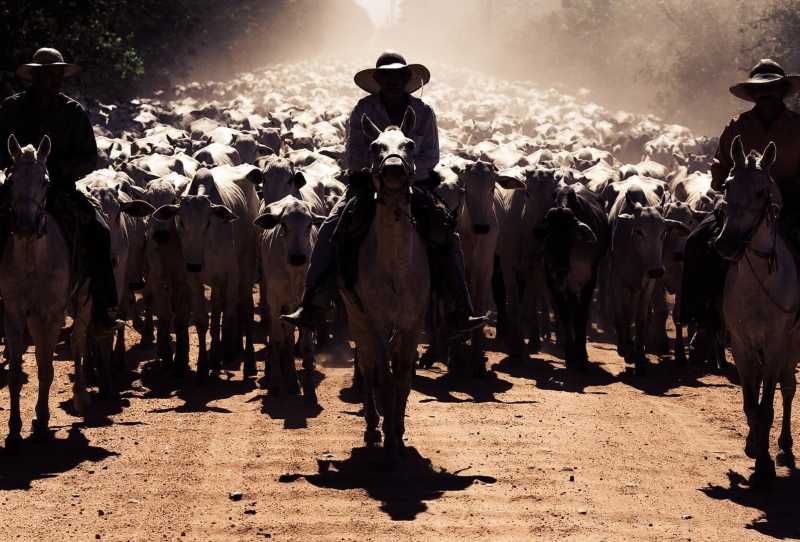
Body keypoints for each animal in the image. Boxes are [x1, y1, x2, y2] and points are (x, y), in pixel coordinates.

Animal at [338, 108, 432, 466]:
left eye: (409, 144)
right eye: (375, 146)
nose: (393, 170)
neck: (395, 267)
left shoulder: (412, 324)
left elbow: (403, 378)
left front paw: (399, 435)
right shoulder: (375, 322)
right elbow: (384, 377)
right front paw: (388, 440)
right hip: (356, 318)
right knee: (368, 367)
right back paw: (371, 427)